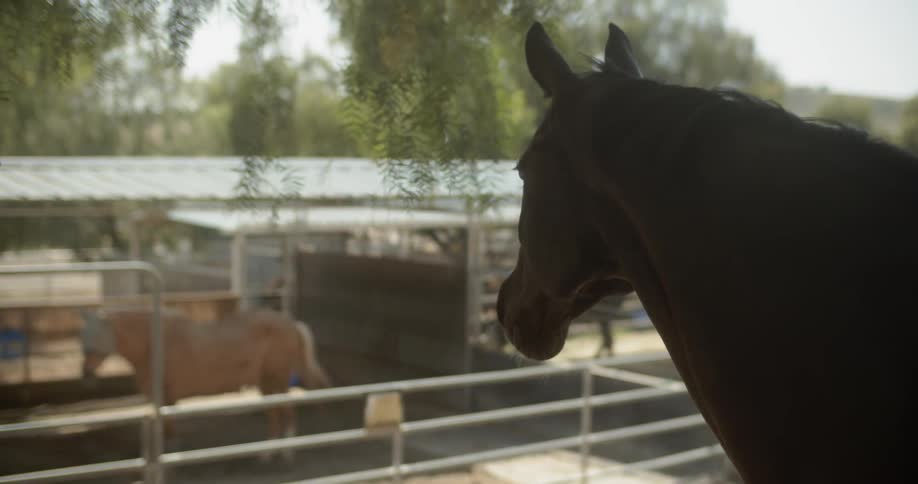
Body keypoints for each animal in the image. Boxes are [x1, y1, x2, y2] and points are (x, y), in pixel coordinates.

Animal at [80, 307, 331, 462]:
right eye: (82, 336)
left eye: (98, 336)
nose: (86, 375)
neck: (154, 344)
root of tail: (290, 323)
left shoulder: (165, 398)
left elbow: (169, 431)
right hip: (266, 384)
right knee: (275, 415)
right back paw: (266, 455)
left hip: (276, 380)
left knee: (287, 413)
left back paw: (287, 455)